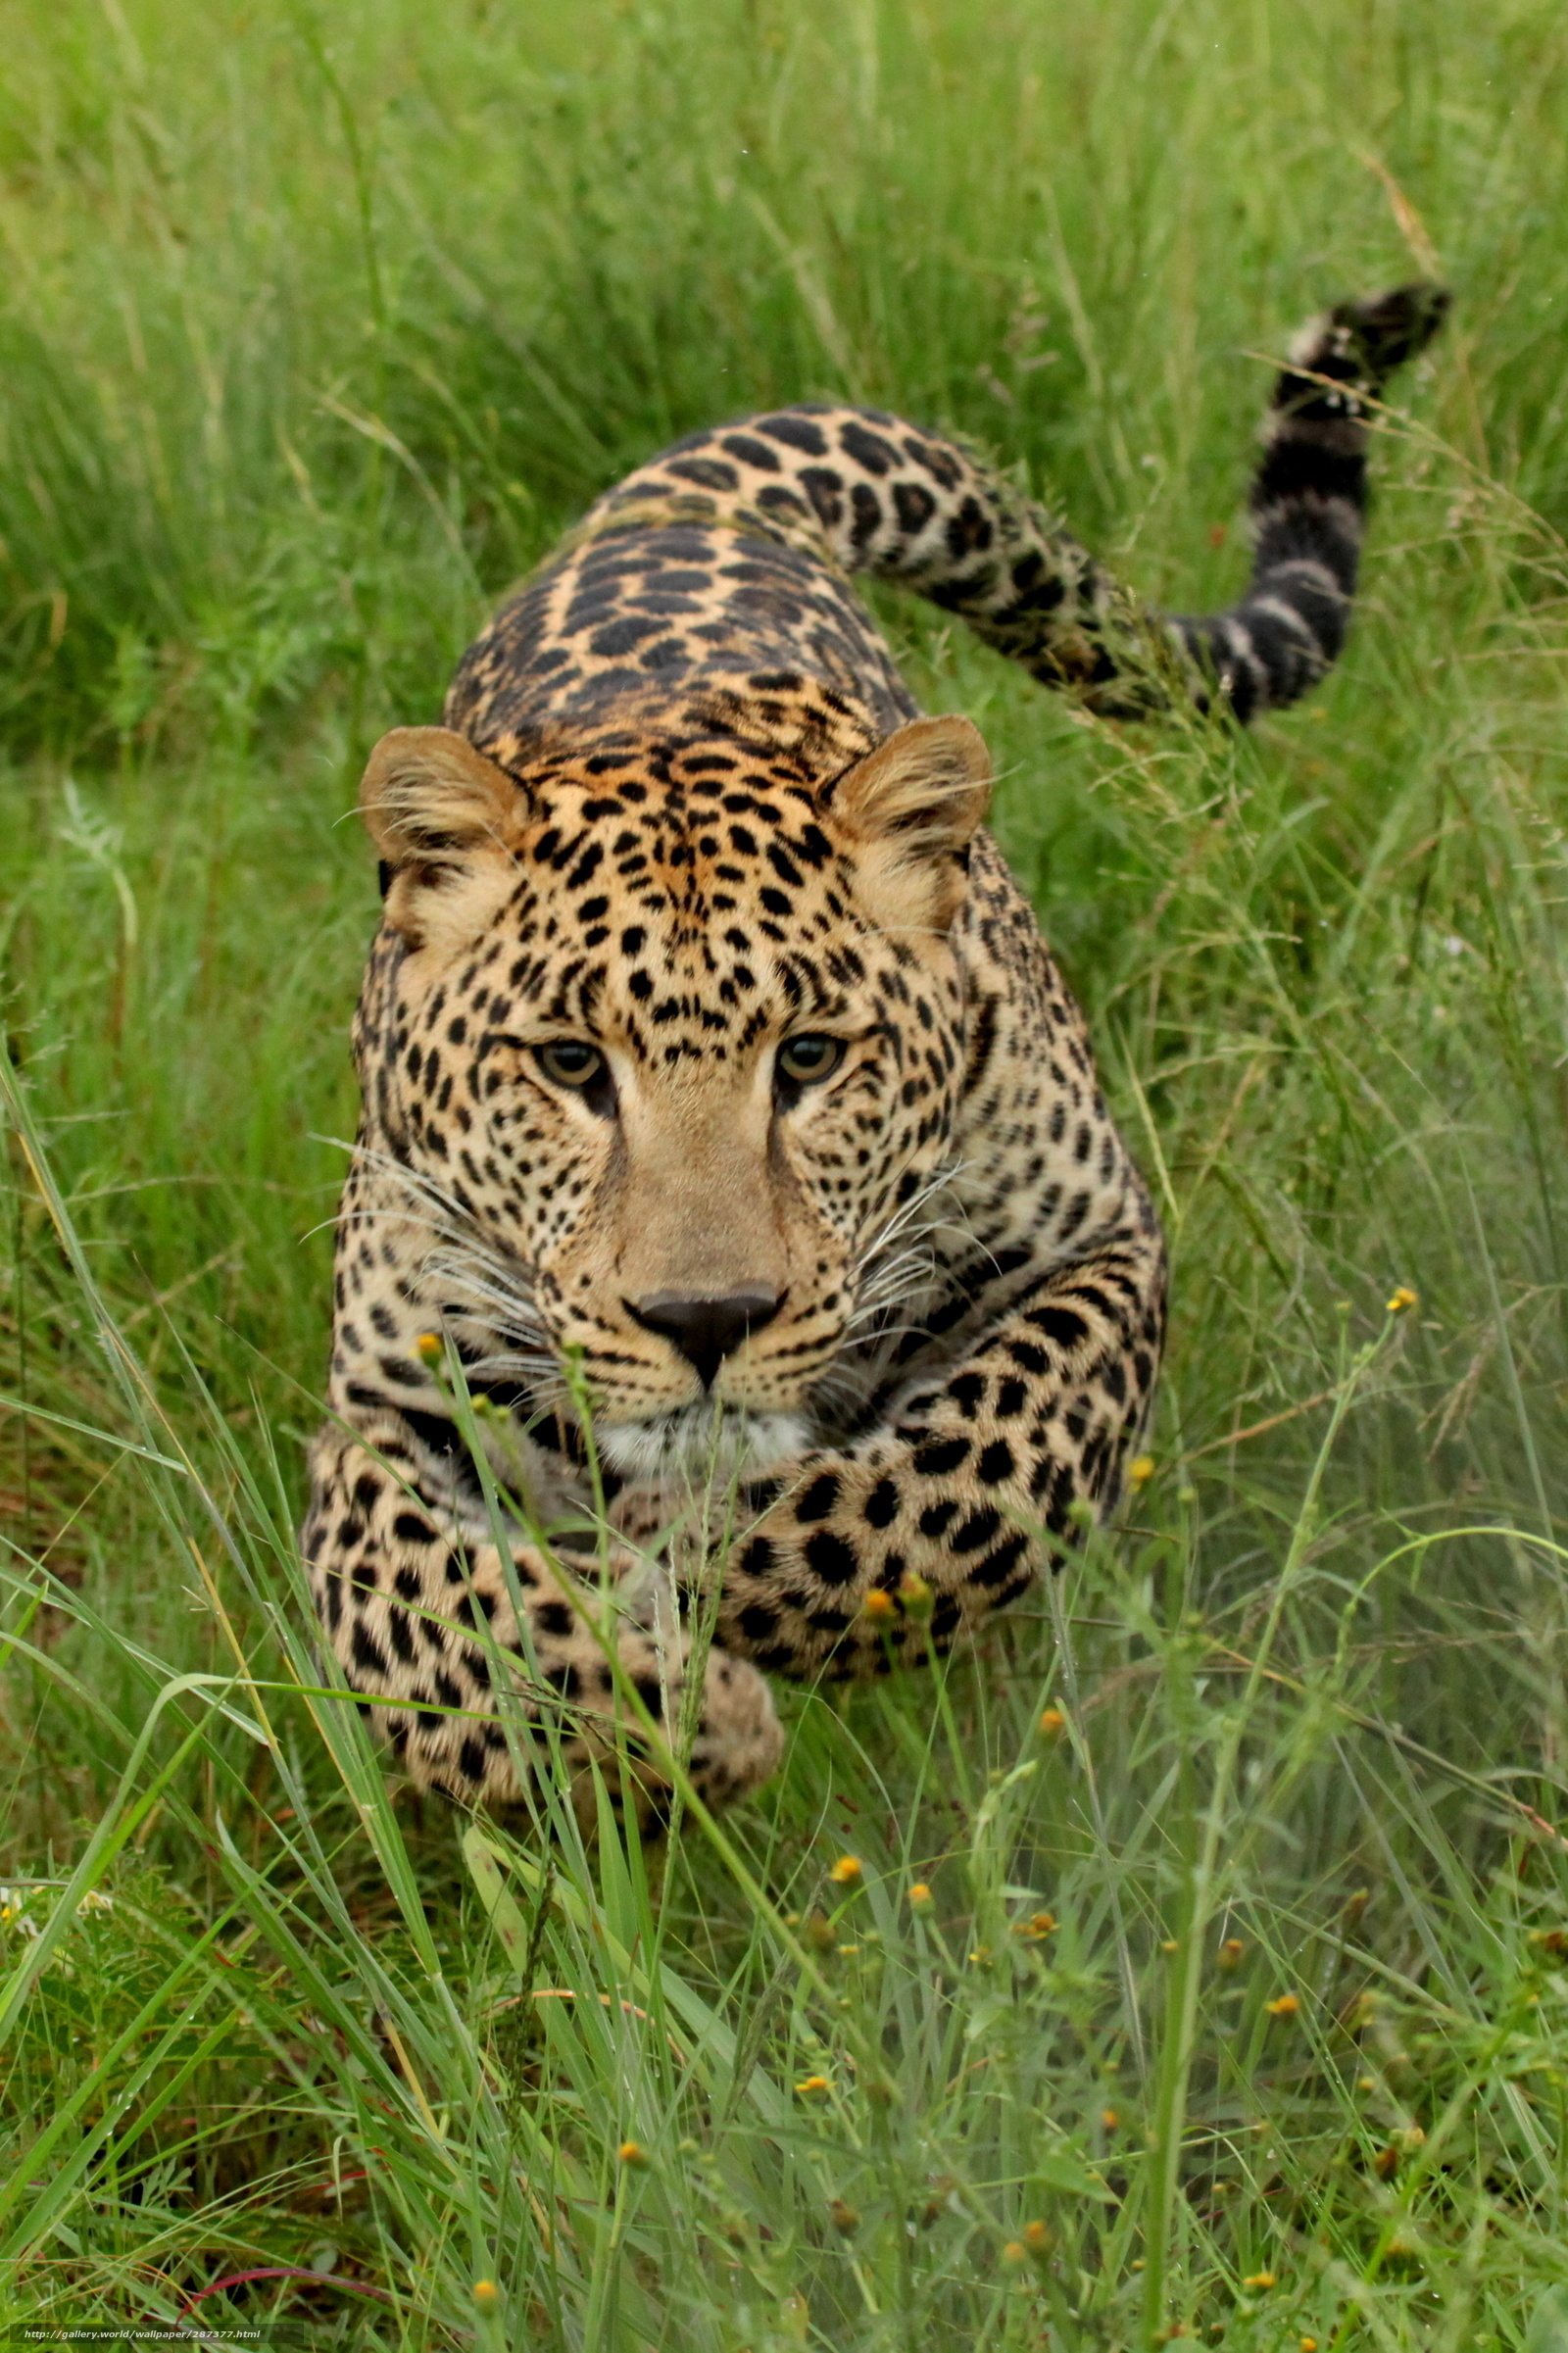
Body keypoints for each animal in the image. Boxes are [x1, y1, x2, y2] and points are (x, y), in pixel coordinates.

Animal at [303, 282, 1447, 1827]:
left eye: (810, 1059)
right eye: (569, 1067)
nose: (706, 1318)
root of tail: (673, 510)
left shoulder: (1100, 1252)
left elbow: (948, 1482)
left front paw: (695, 1577)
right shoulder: (378, 1414)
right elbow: (412, 1619)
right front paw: (676, 1712)